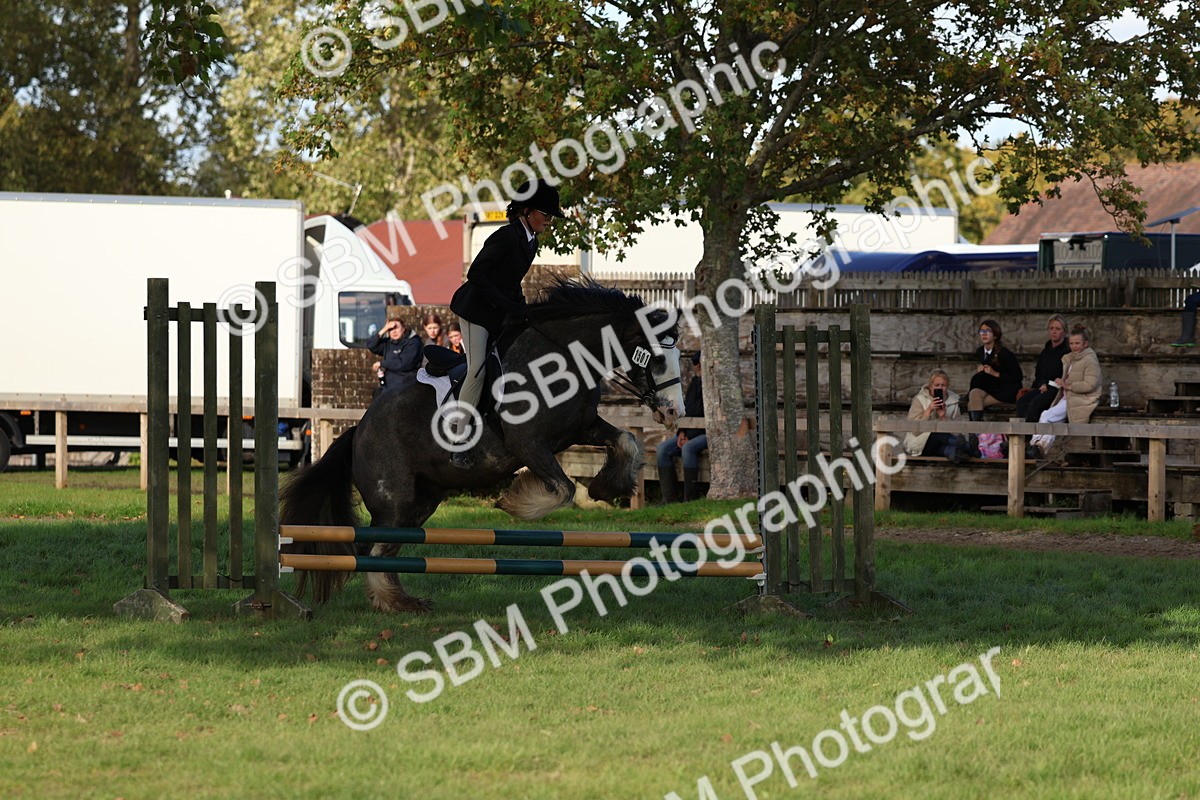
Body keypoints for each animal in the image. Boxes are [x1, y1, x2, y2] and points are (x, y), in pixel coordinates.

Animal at [279, 279, 685, 612]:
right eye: (656, 359)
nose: (673, 412)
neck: (564, 360)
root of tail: (358, 429)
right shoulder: (528, 443)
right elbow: (564, 489)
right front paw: (515, 503)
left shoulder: (581, 428)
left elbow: (626, 442)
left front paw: (606, 486)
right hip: (393, 500)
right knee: (374, 548)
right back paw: (392, 601)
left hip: (422, 501)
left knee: (385, 549)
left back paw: (401, 602)